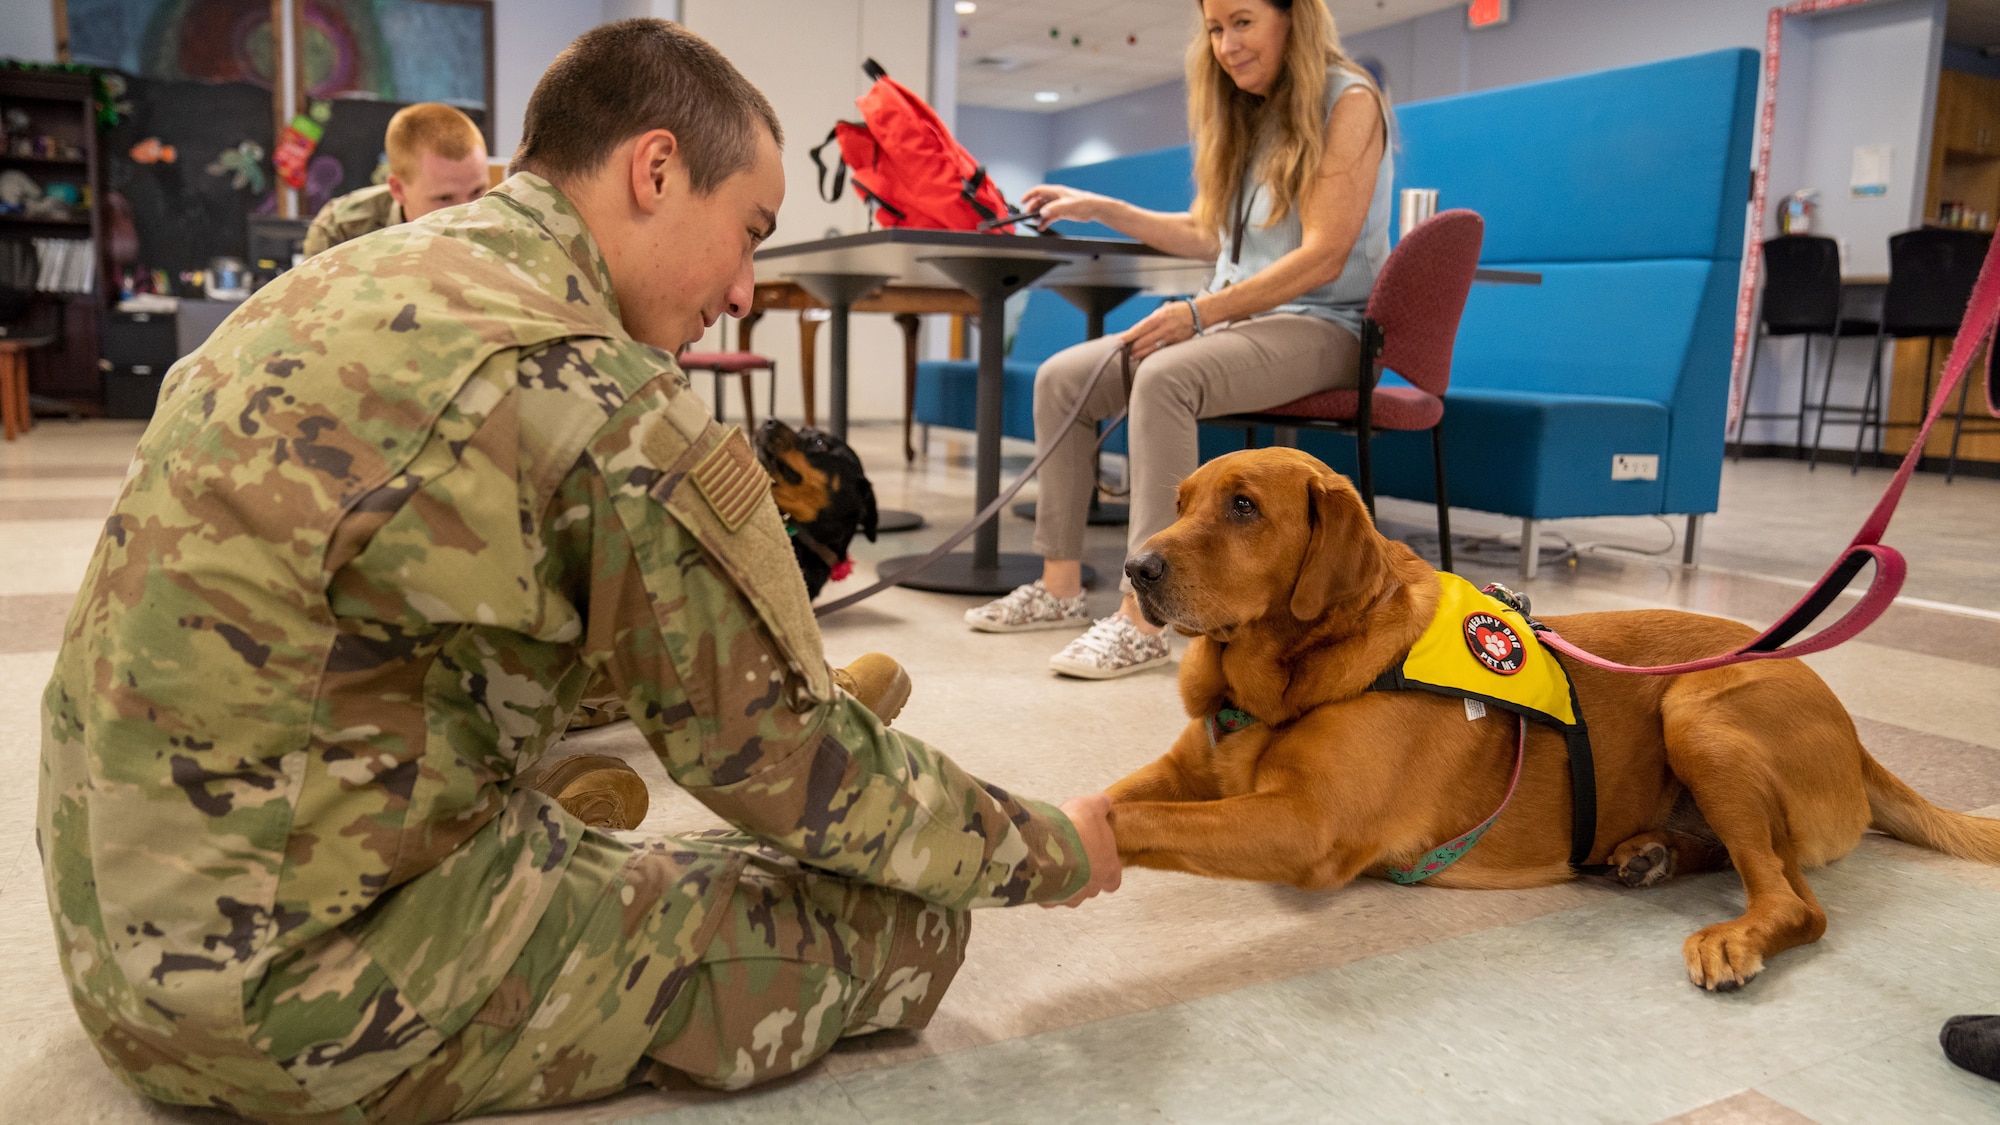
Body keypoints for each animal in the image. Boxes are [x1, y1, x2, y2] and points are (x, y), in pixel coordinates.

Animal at [1112, 446, 2000, 988]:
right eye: (1181, 501)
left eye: (1243, 507)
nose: (1133, 567)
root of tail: (1855, 734)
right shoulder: (1187, 770)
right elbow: (1118, 795)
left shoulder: (1307, 824)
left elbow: (1142, 822)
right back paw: (1649, 852)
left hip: (1698, 712)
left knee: (1794, 900)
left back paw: (1731, 931)